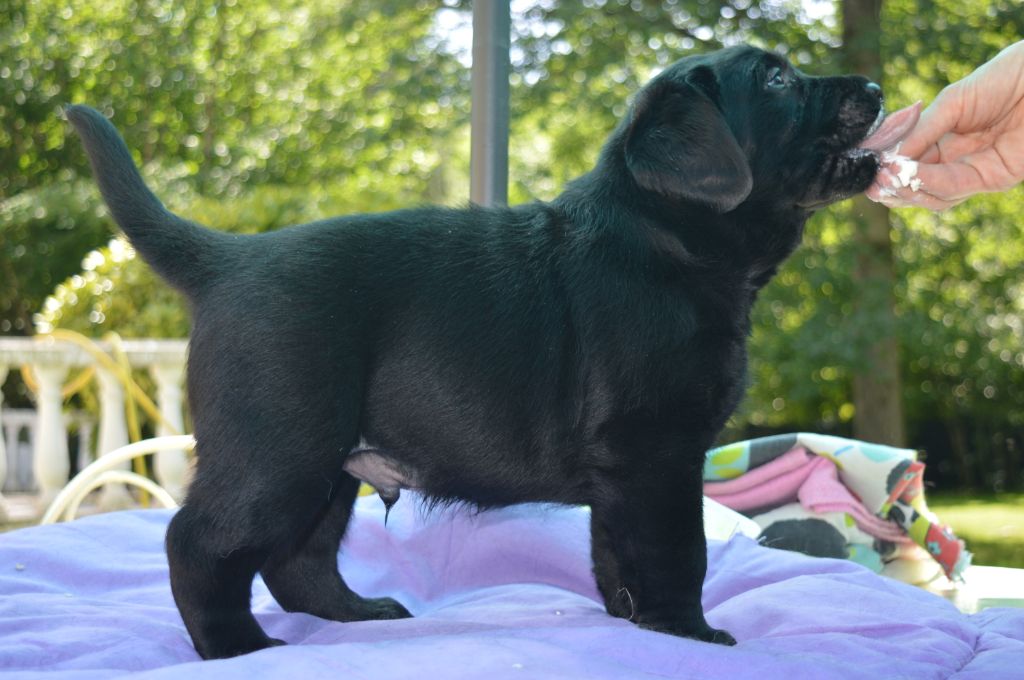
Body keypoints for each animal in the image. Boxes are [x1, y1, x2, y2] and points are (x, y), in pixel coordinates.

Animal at [66, 43, 897, 659]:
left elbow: (616, 553)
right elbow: (675, 551)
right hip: (278, 450)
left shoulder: (626, 471)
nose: (877, 84)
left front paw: (634, 622)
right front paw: (689, 635)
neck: (667, 235)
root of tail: (227, 257)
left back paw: (358, 614)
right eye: (778, 79)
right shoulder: (656, 452)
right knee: (199, 542)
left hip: (327, 466)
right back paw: (234, 646)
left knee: (298, 559)